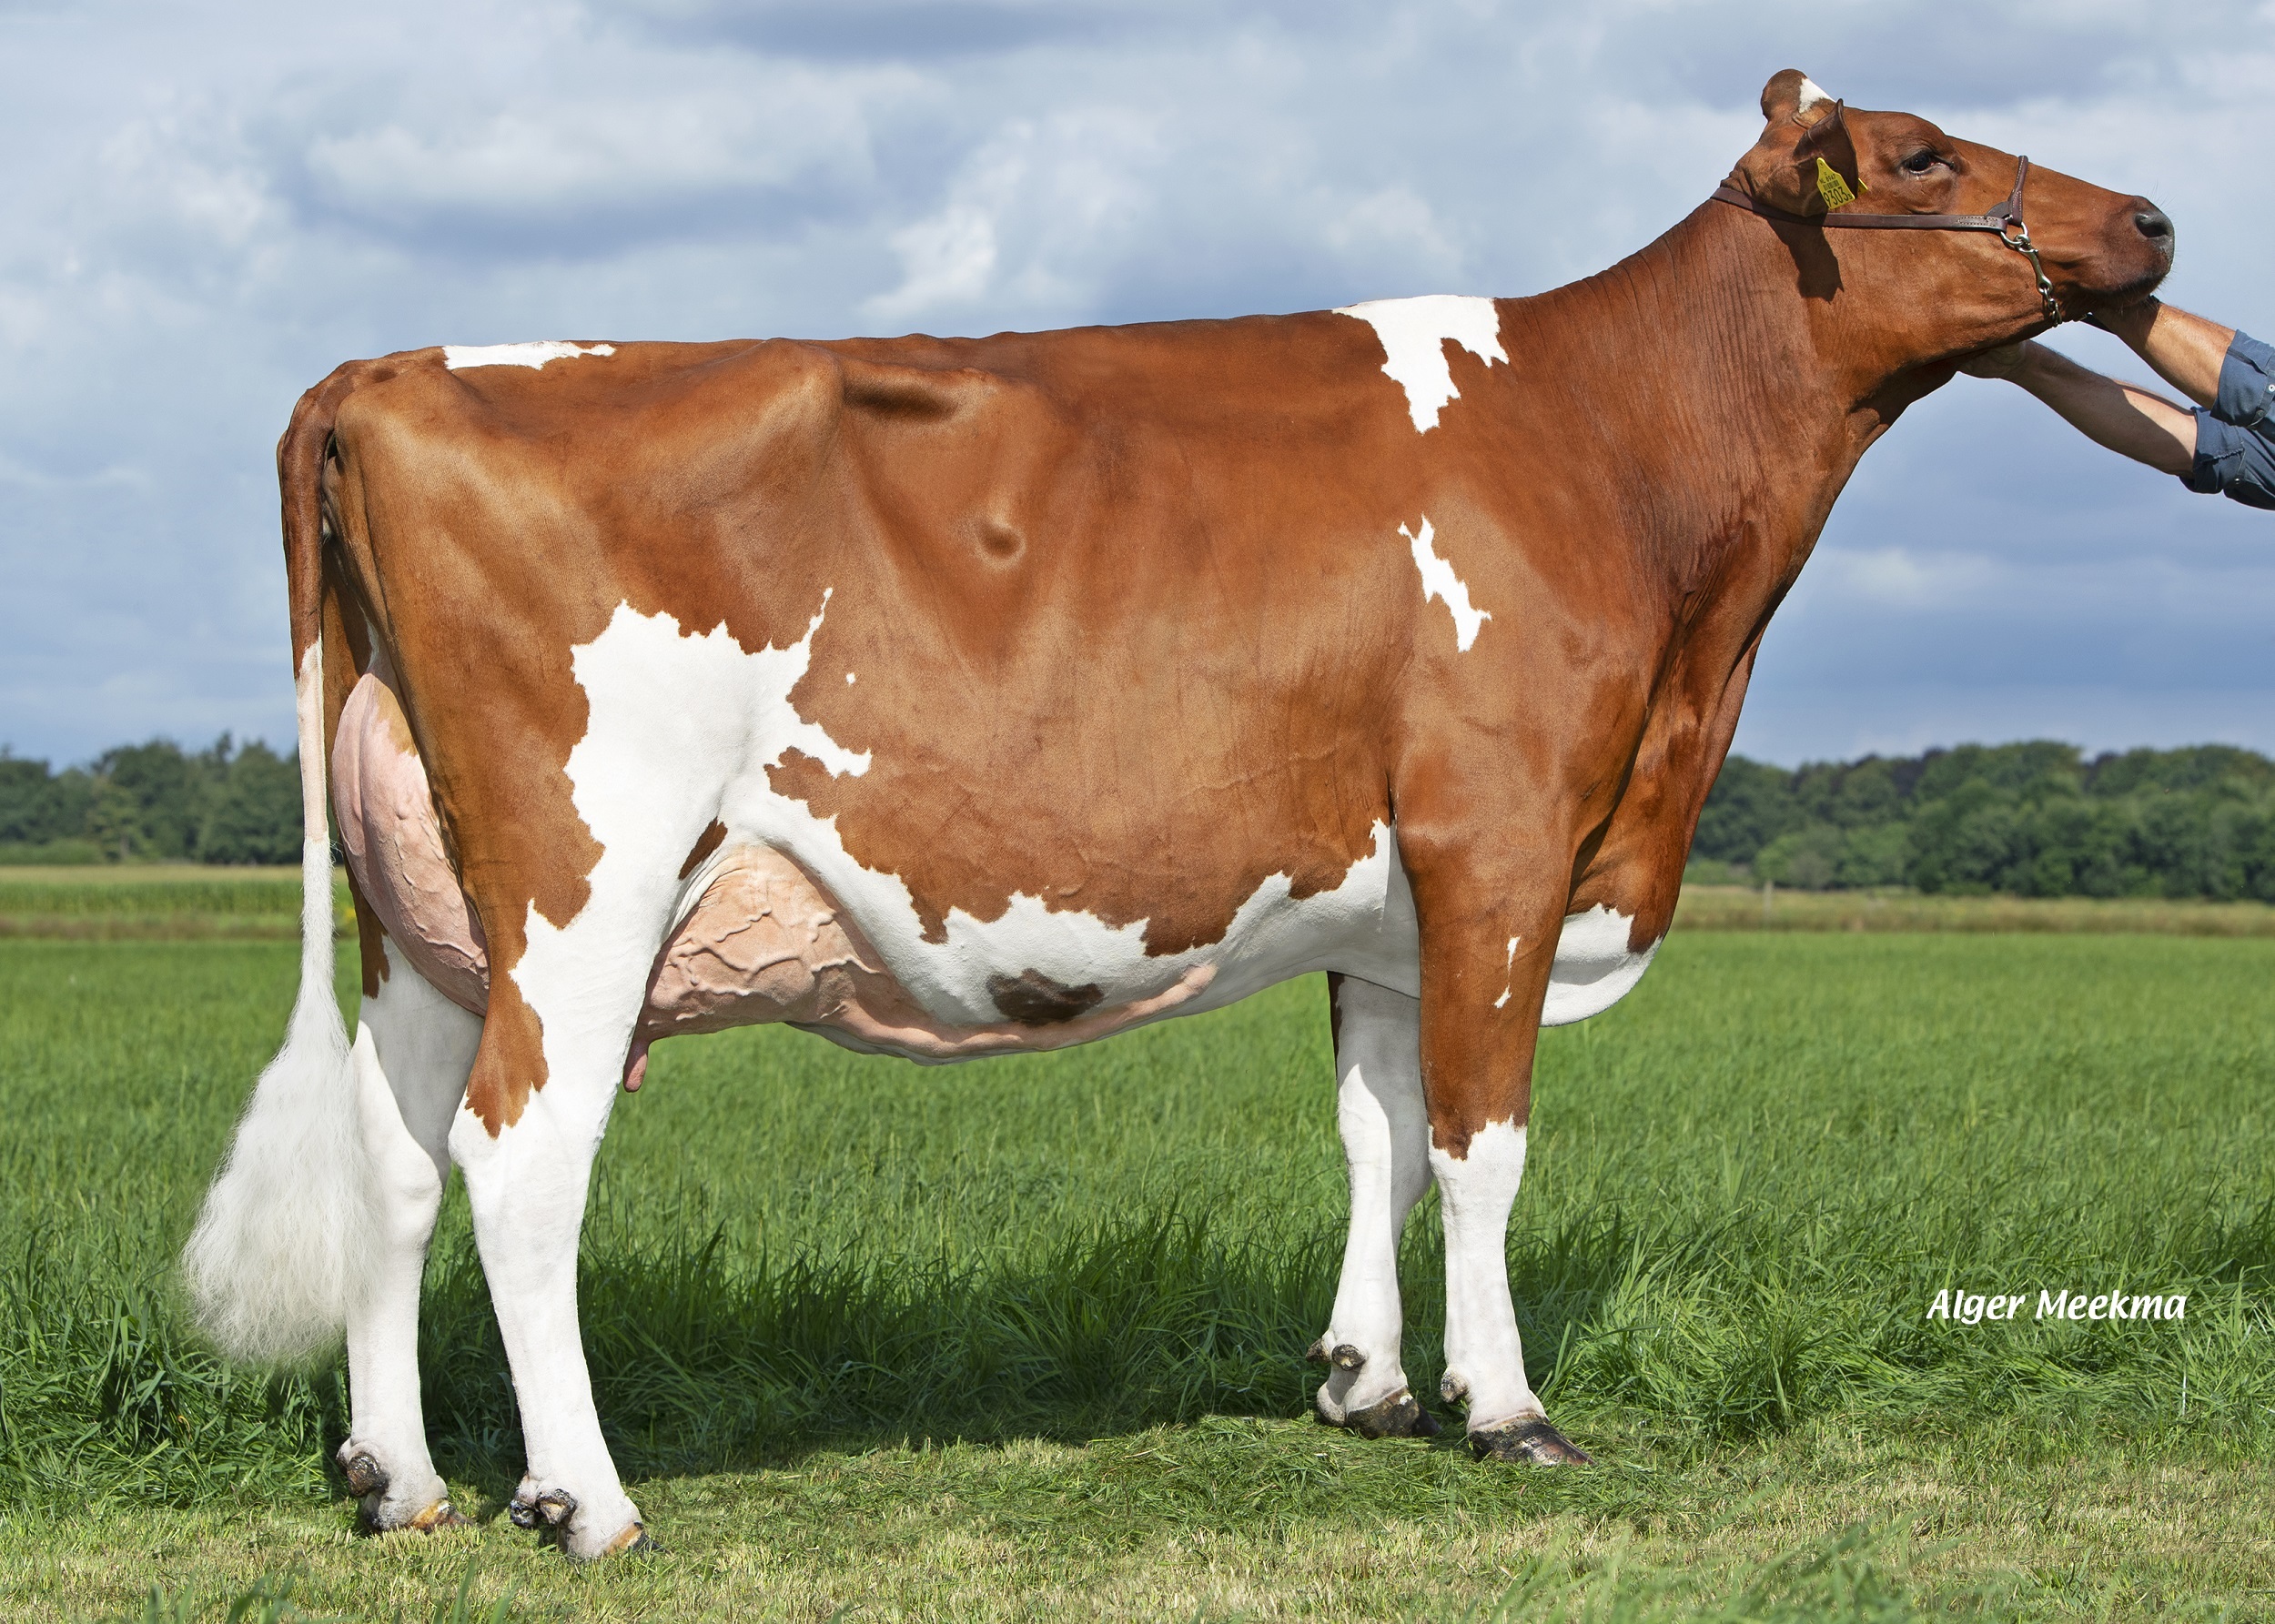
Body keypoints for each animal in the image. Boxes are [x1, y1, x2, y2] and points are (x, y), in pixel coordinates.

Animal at [191, 78, 2166, 1556]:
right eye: (1920, 157)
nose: (2149, 219)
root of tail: (384, 374)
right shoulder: (1504, 844)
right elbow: (1483, 1143)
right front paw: (1510, 1410)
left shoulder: (1386, 896)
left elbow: (1377, 1129)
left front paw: (1370, 1383)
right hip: (583, 882)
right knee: (522, 1157)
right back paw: (585, 1501)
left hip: (424, 915)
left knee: (392, 1157)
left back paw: (402, 1481)